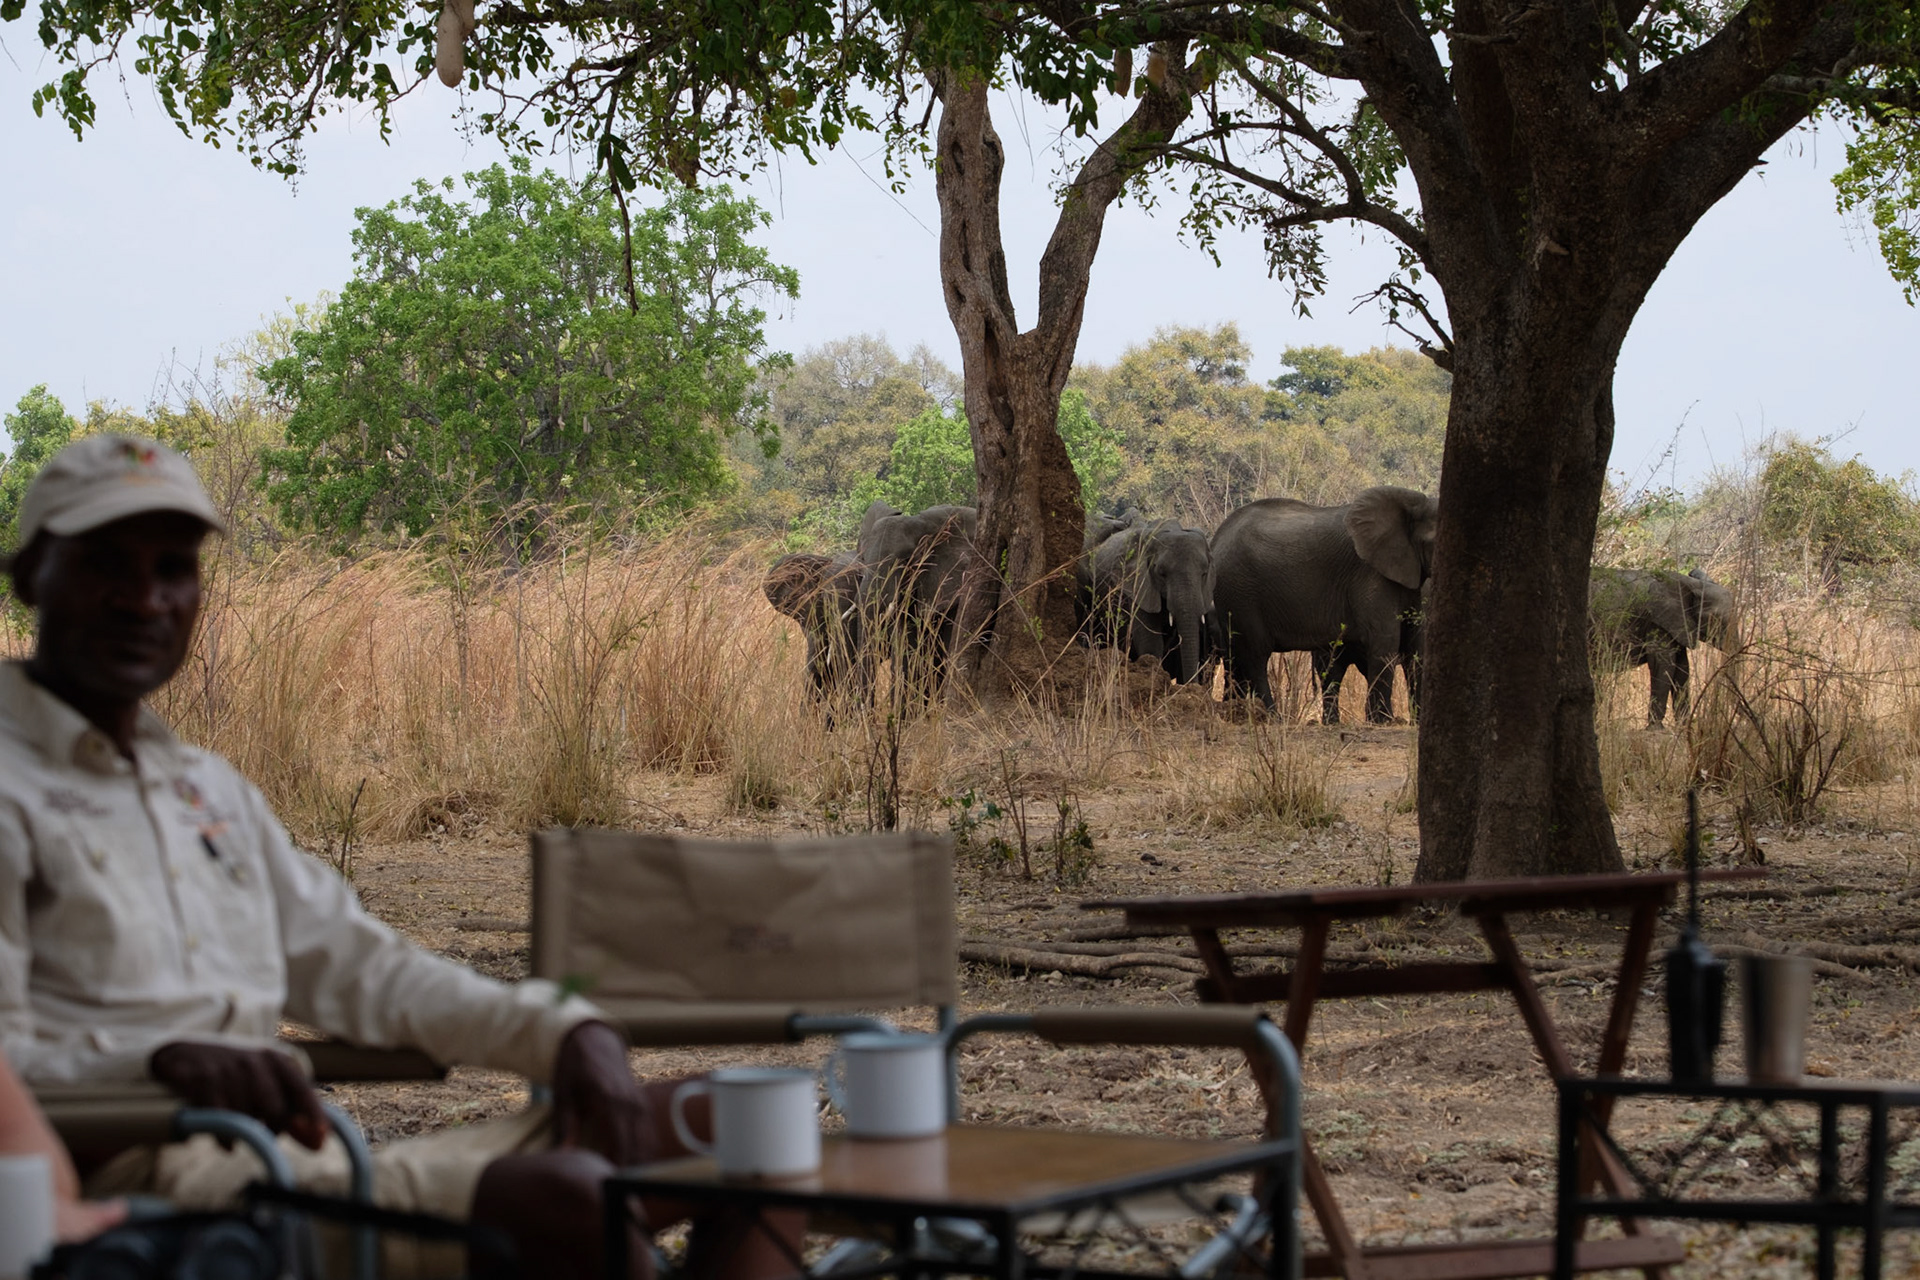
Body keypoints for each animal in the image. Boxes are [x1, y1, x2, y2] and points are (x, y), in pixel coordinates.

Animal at [1210, 486, 1438, 720]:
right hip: (1240, 593)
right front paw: (1383, 722)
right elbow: (1386, 640)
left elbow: (1417, 644)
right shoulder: (1369, 576)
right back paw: (1271, 716)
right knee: (1255, 657)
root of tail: (1217, 537)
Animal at [1589, 566, 1735, 726]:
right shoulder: (1657, 620)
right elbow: (1663, 665)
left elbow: (1682, 668)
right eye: (1715, 619)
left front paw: (1683, 727)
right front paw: (1655, 728)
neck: (1692, 584)